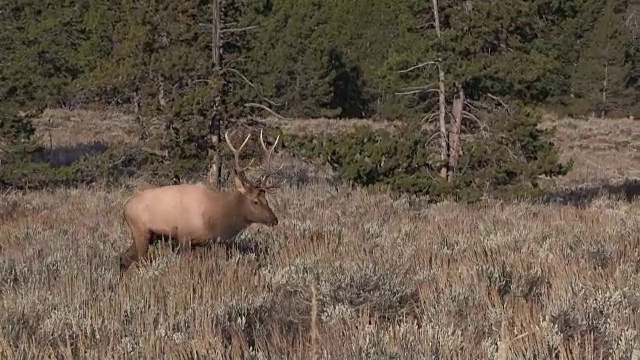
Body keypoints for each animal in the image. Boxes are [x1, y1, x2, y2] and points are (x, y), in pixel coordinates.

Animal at [118, 129, 282, 272]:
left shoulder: (202, 243)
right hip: (140, 231)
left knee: (124, 258)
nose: (274, 220)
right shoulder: (184, 237)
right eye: (255, 201)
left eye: (265, 198)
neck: (214, 219)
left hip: (149, 235)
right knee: (139, 260)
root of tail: (125, 205)